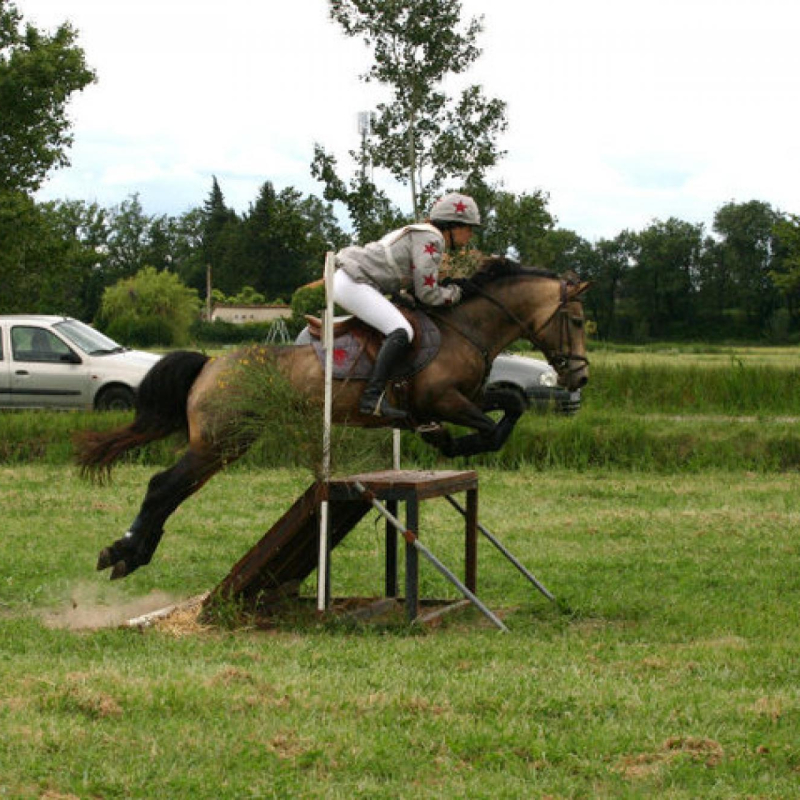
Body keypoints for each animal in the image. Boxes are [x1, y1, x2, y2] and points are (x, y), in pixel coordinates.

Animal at [76, 260, 588, 580]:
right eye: (579, 321)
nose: (579, 376)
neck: (465, 329)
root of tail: (211, 364)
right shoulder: (442, 399)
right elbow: (489, 426)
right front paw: (456, 442)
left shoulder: (469, 394)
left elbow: (511, 407)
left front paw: (449, 443)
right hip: (220, 441)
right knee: (163, 485)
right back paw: (121, 552)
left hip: (226, 445)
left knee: (176, 490)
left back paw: (133, 553)